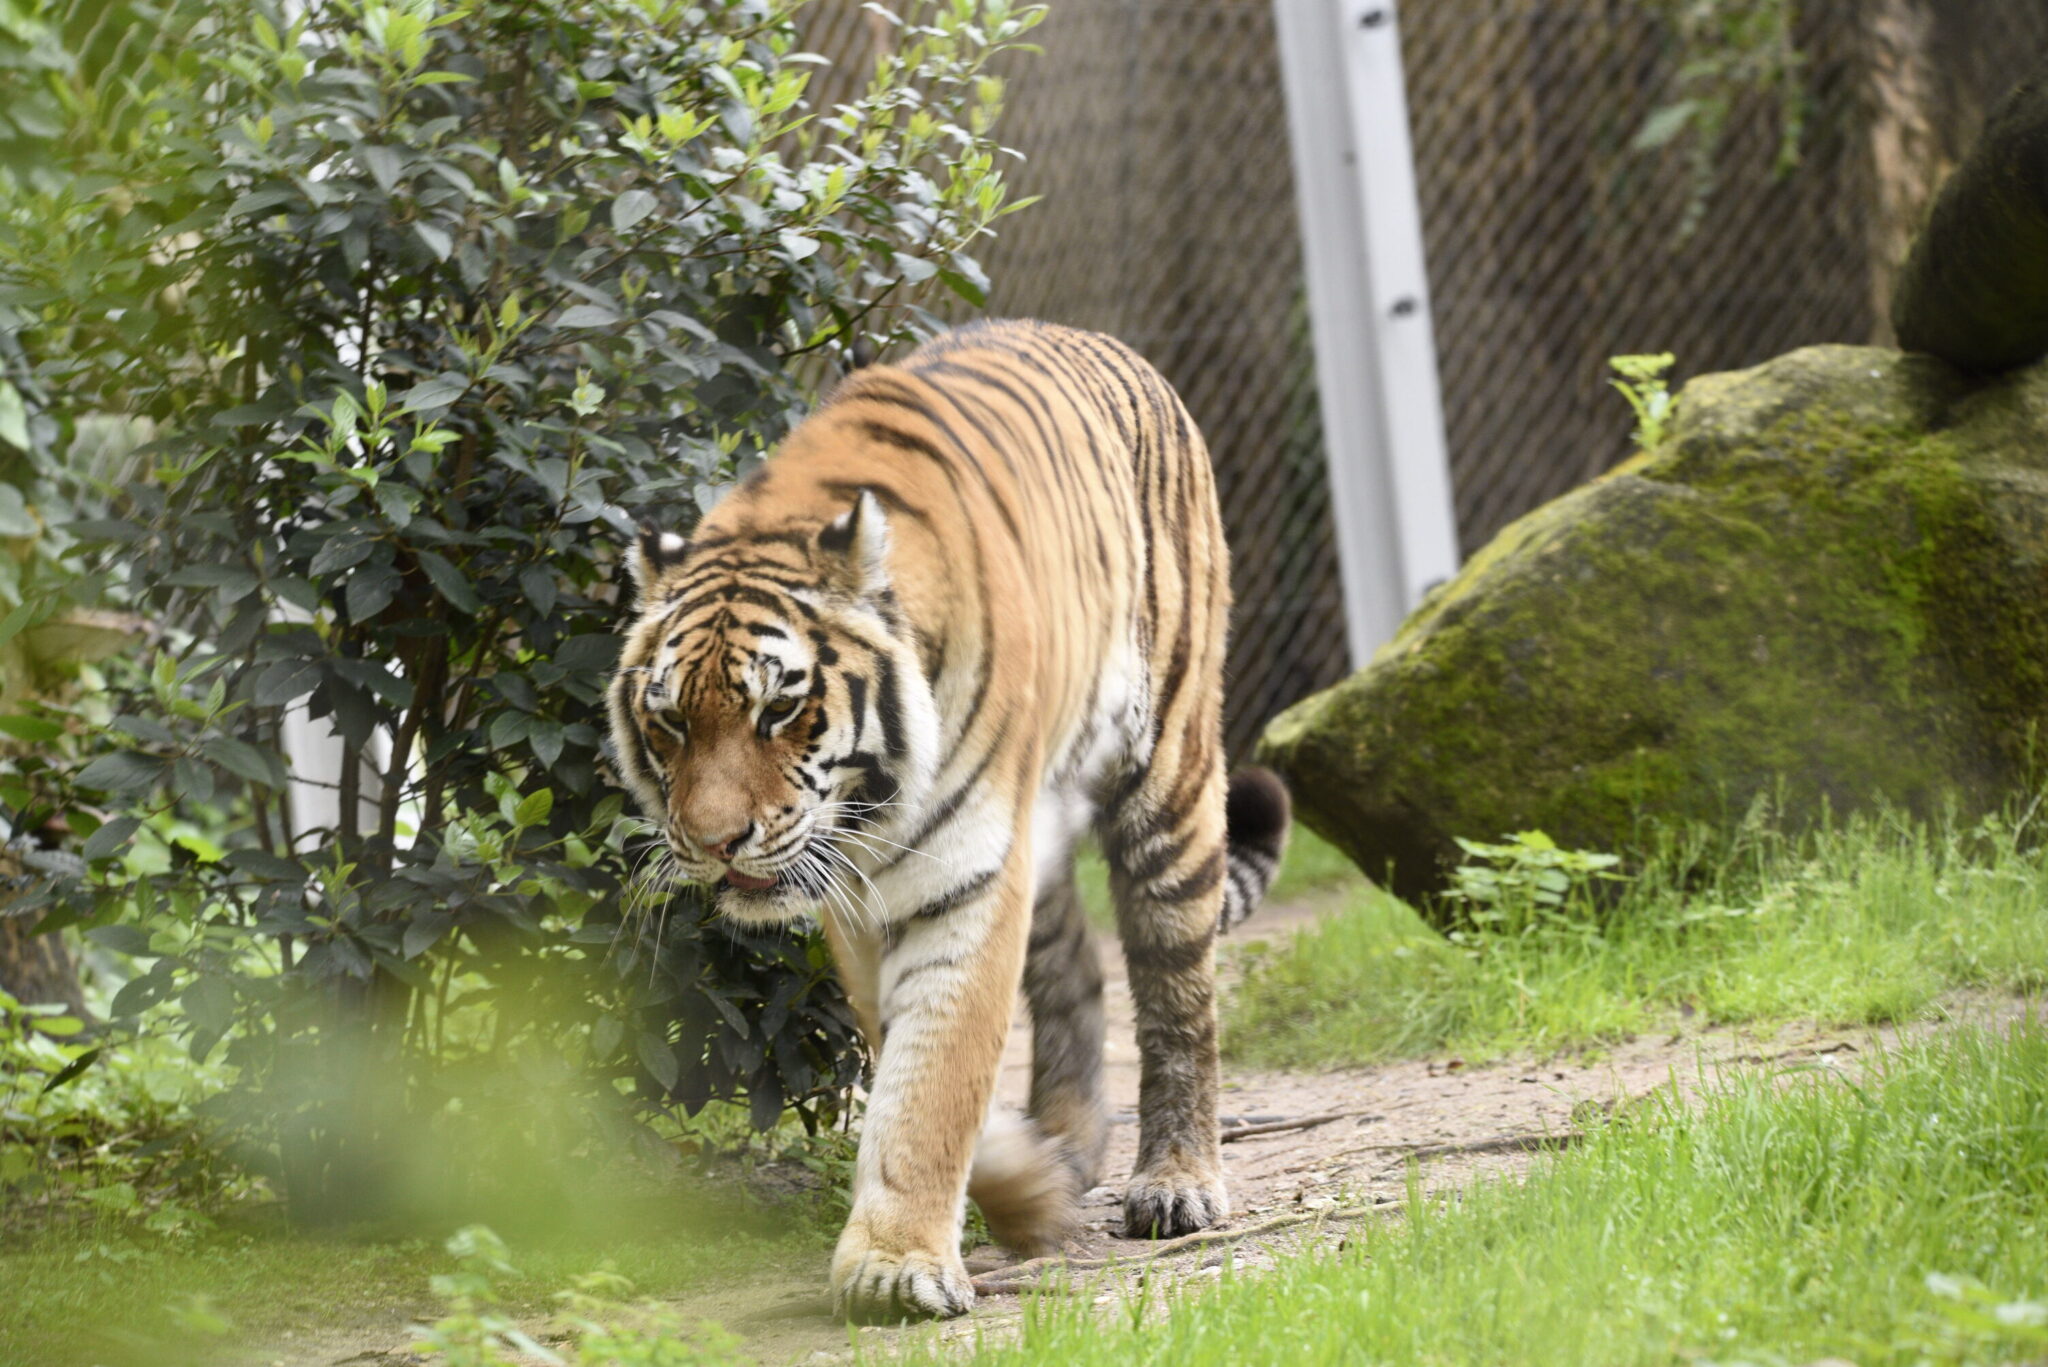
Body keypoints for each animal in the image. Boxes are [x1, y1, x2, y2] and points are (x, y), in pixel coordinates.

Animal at [598, 315, 1286, 1319]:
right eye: (672, 720)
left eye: (779, 708)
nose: (716, 842)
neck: (870, 809)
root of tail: (1110, 345)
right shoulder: (861, 901)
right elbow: (912, 1065)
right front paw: (1021, 1186)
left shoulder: (966, 873)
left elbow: (936, 1075)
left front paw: (894, 1267)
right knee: (1075, 971)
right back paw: (1068, 1149)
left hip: (1172, 778)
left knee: (1177, 997)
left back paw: (1177, 1181)